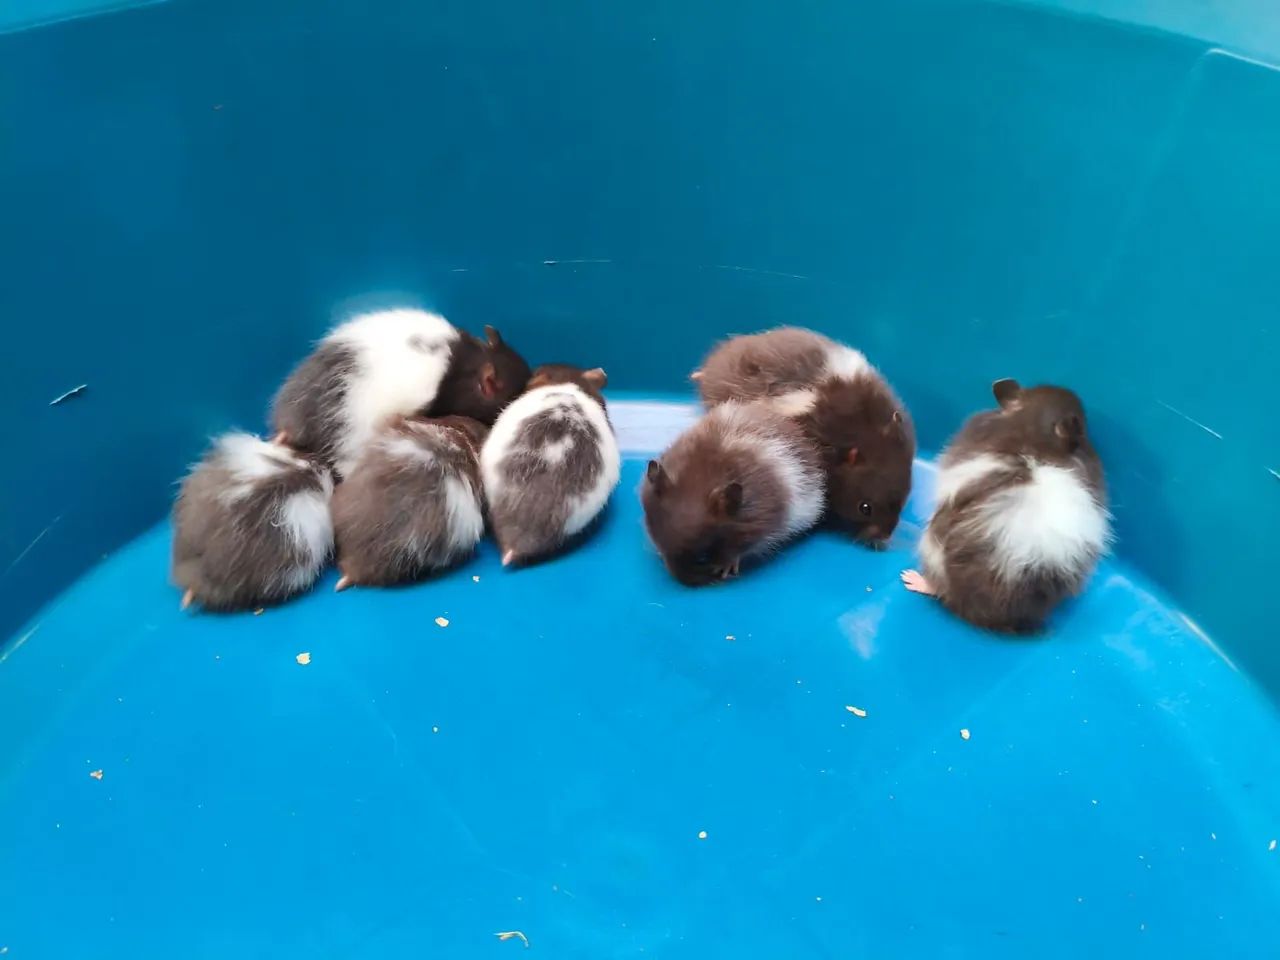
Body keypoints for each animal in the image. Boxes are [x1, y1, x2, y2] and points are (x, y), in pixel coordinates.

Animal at [641, 401, 826, 586]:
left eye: (701, 554)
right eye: (661, 542)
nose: (688, 582)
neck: (701, 480)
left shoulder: (754, 525)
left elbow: (734, 550)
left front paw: (723, 569)